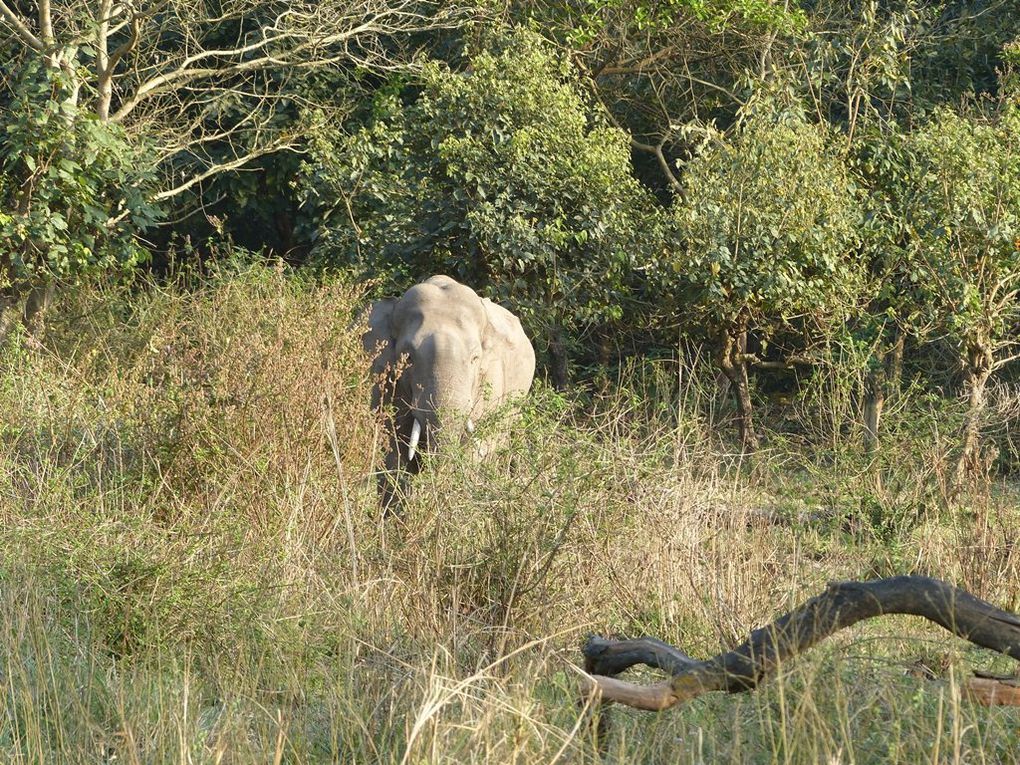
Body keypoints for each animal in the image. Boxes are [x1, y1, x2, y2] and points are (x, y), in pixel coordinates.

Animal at [361, 273, 538, 510]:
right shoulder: (382, 378)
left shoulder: (491, 380)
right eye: (408, 358)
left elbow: (477, 447)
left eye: (475, 358)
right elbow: (392, 447)